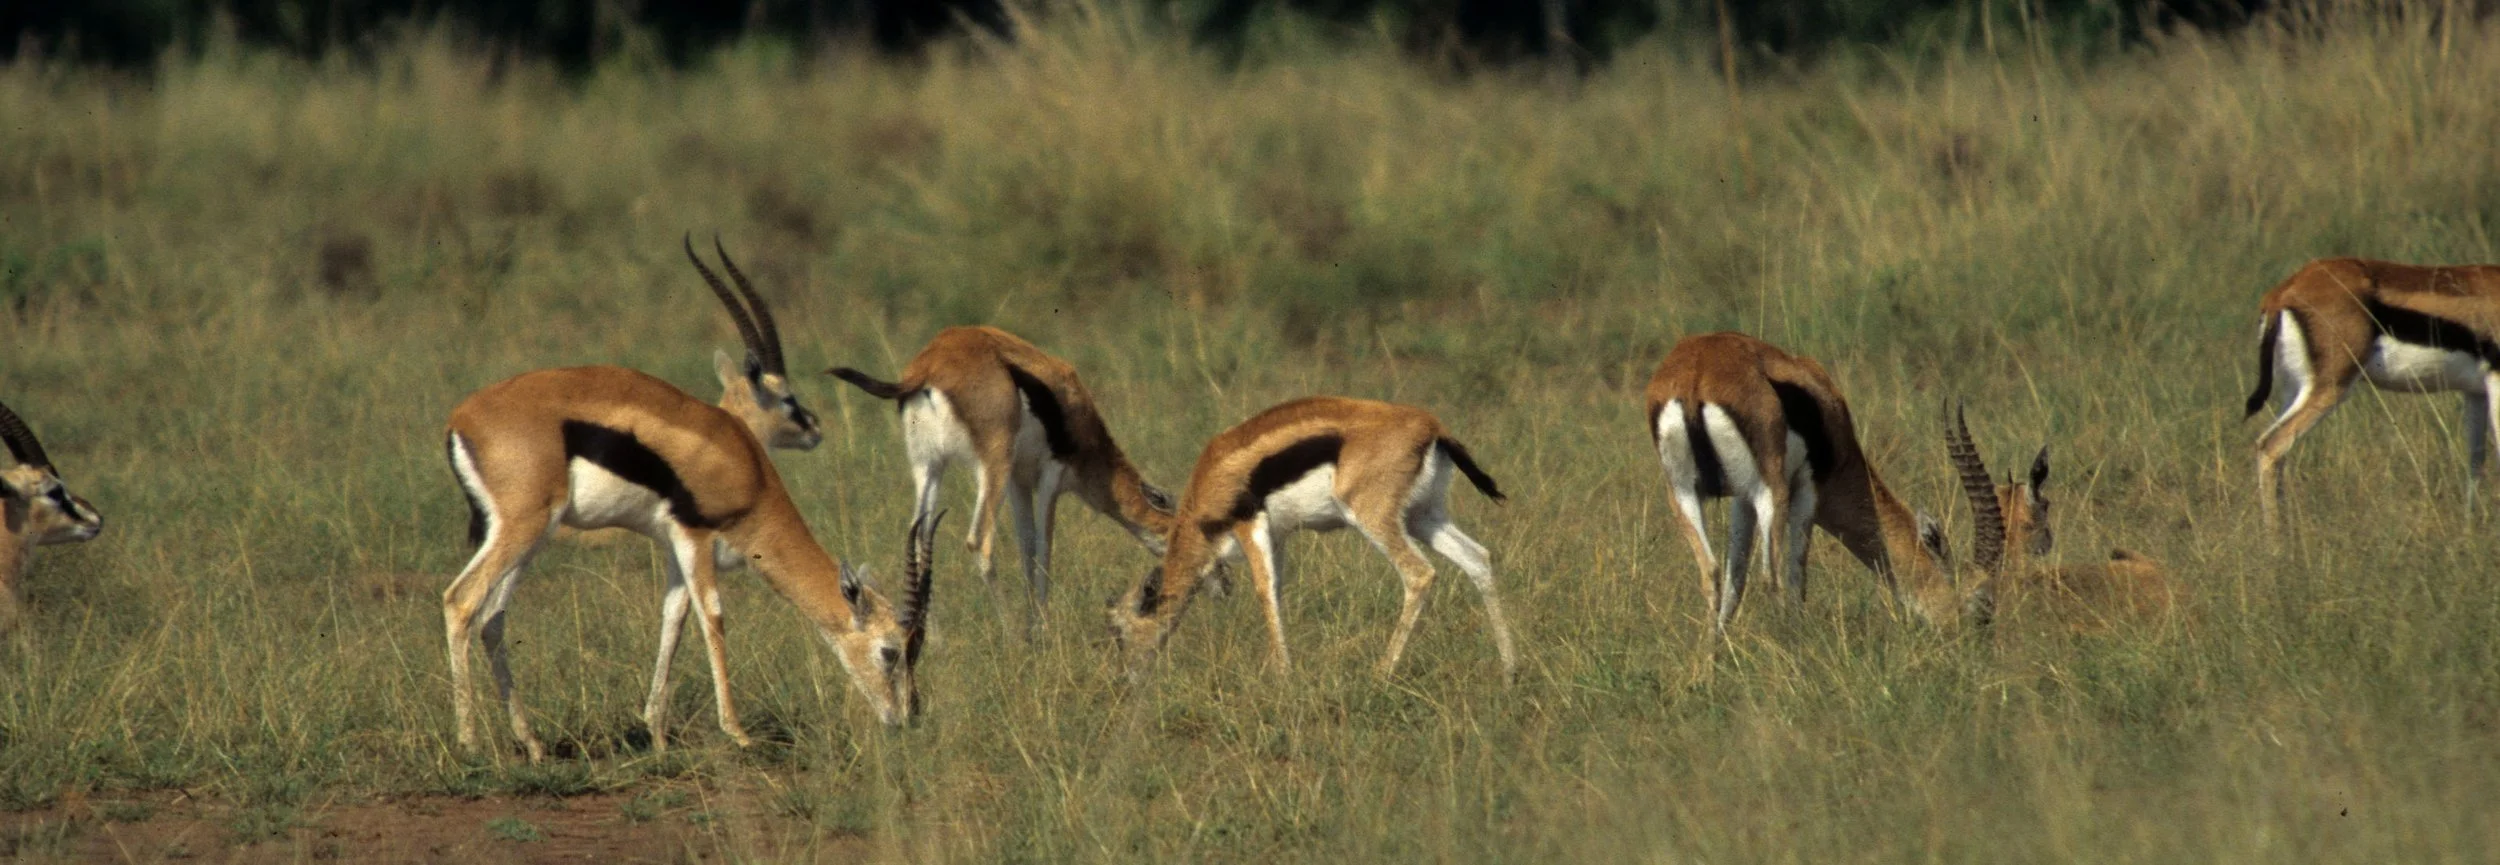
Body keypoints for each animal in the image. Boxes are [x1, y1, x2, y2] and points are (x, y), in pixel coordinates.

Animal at [440, 366, 939, 762]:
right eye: (890, 650)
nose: (905, 717)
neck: (747, 470)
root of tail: (461, 419)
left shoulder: (673, 550)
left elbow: (673, 621)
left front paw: (658, 737)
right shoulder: (693, 537)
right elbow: (712, 619)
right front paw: (739, 735)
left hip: (532, 538)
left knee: (492, 618)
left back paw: (532, 745)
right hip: (522, 528)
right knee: (460, 600)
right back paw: (470, 744)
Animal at [828, 326, 1175, 627]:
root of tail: (927, 369)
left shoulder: (1018, 481)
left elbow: (1026, 546)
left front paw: (1033, 627)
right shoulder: (1050, 476)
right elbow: (1043, 545)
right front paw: (1041, 630)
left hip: (929, 466)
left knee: (918, 537)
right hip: (991, 465)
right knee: (979, 541)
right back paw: (1009, 635)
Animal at [1105, 396, 1518, 683]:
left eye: (1120, 633)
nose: (1126, 679)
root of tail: (1432, 427)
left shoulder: (1249, 524)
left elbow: (1264, 592)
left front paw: (1282, 678)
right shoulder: (1277, 536)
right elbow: (1277, 590)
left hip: (1375, 519)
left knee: (1419, 574)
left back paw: (1379, 675)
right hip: (1423, 518)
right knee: (1478, 557)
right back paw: (1510, 671)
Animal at [1645, 332, 1998, 631]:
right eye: (1982, 603)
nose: (1972, 641)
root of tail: (1695, 377)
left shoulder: (1741, 499)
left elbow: (1736, 579)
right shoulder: (1808, 490)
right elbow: (1797, 577)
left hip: (1683, 493)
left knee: (1712, 572)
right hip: (1770, 493)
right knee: (1771, 578)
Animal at [2246, 258, 2500, 529]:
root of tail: (2283, 292)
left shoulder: (2475, 392)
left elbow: (2476, 459)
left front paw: (2468, 530)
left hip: (2295, 390)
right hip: (2331, 387)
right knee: (2271, 445)